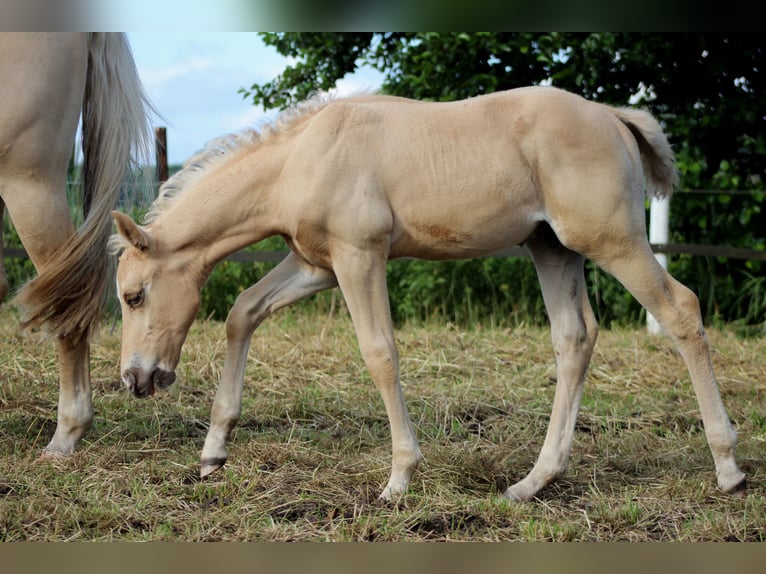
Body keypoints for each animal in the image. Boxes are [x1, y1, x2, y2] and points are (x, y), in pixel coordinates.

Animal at [110, 86, 746, 502]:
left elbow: (380, 353)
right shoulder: (316, 264)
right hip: (552, 248)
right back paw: (533, 482)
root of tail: (613, 117)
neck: (302, 157)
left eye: (134, 296)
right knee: (575, 338)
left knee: (680, 310)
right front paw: (213, 452)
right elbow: (243, 312)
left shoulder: (360, 257)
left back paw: (729, 468)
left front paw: (398, 479)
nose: (135, 379)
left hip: (610, 239)